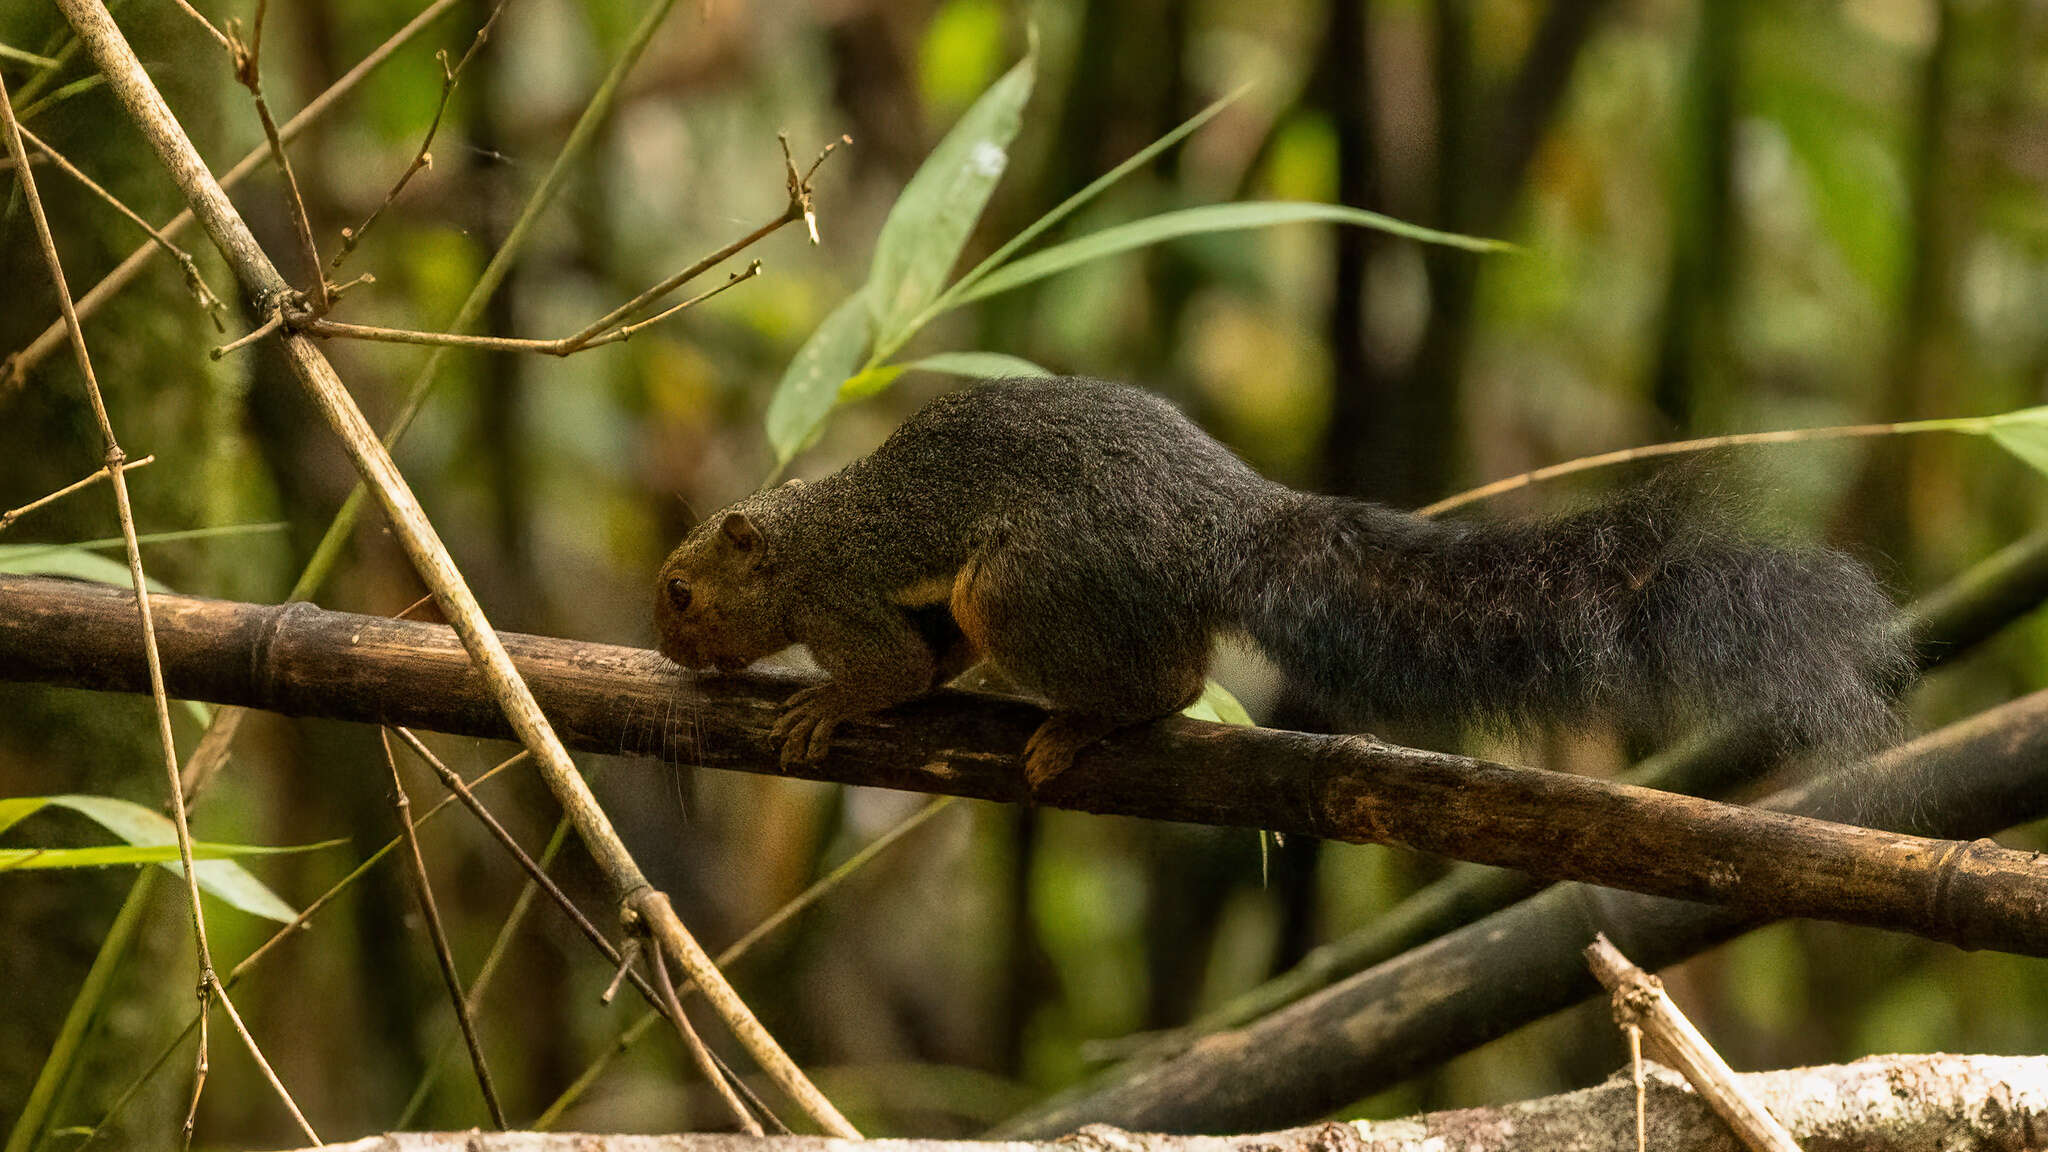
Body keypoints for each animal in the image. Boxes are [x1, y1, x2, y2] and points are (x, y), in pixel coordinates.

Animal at [651, 381, 1900, 783]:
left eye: (678, 591)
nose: (662, 647)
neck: (802, 536)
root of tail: (1226, 526)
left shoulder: (841, 597)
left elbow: (888, 672)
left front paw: (820, 706)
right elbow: (929, 666)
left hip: (1024, 585)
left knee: (1166, 680)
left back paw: (1081, 726)